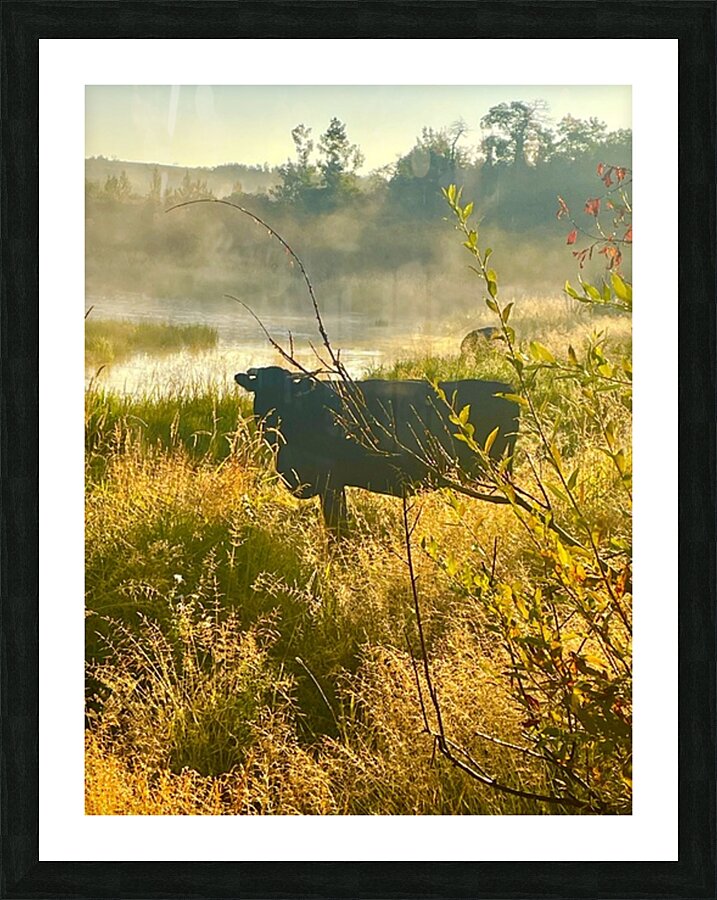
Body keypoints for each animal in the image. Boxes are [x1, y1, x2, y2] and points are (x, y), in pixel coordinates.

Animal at [235, 366, 520, 534]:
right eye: (260, 390)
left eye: (287, 392)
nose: (271, 419)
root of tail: (505, 388)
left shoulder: (329, 480)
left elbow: (337, 527)